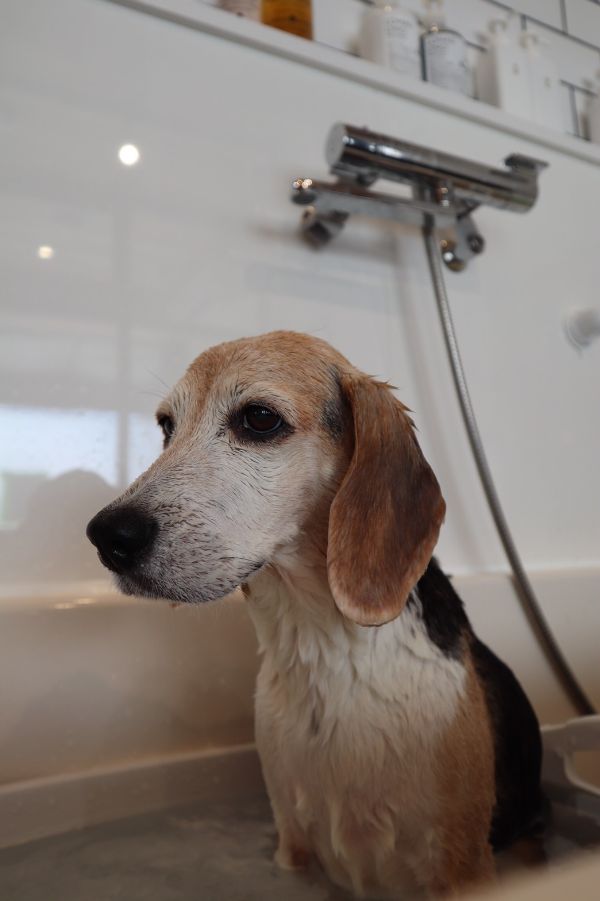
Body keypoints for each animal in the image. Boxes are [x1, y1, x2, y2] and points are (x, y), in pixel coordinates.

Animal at [87, 331, 542, 899]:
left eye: (259, 419)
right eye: (167, 427)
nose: (107, 537)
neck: (321, 648)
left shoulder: (460, 861)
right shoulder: (294, 846)